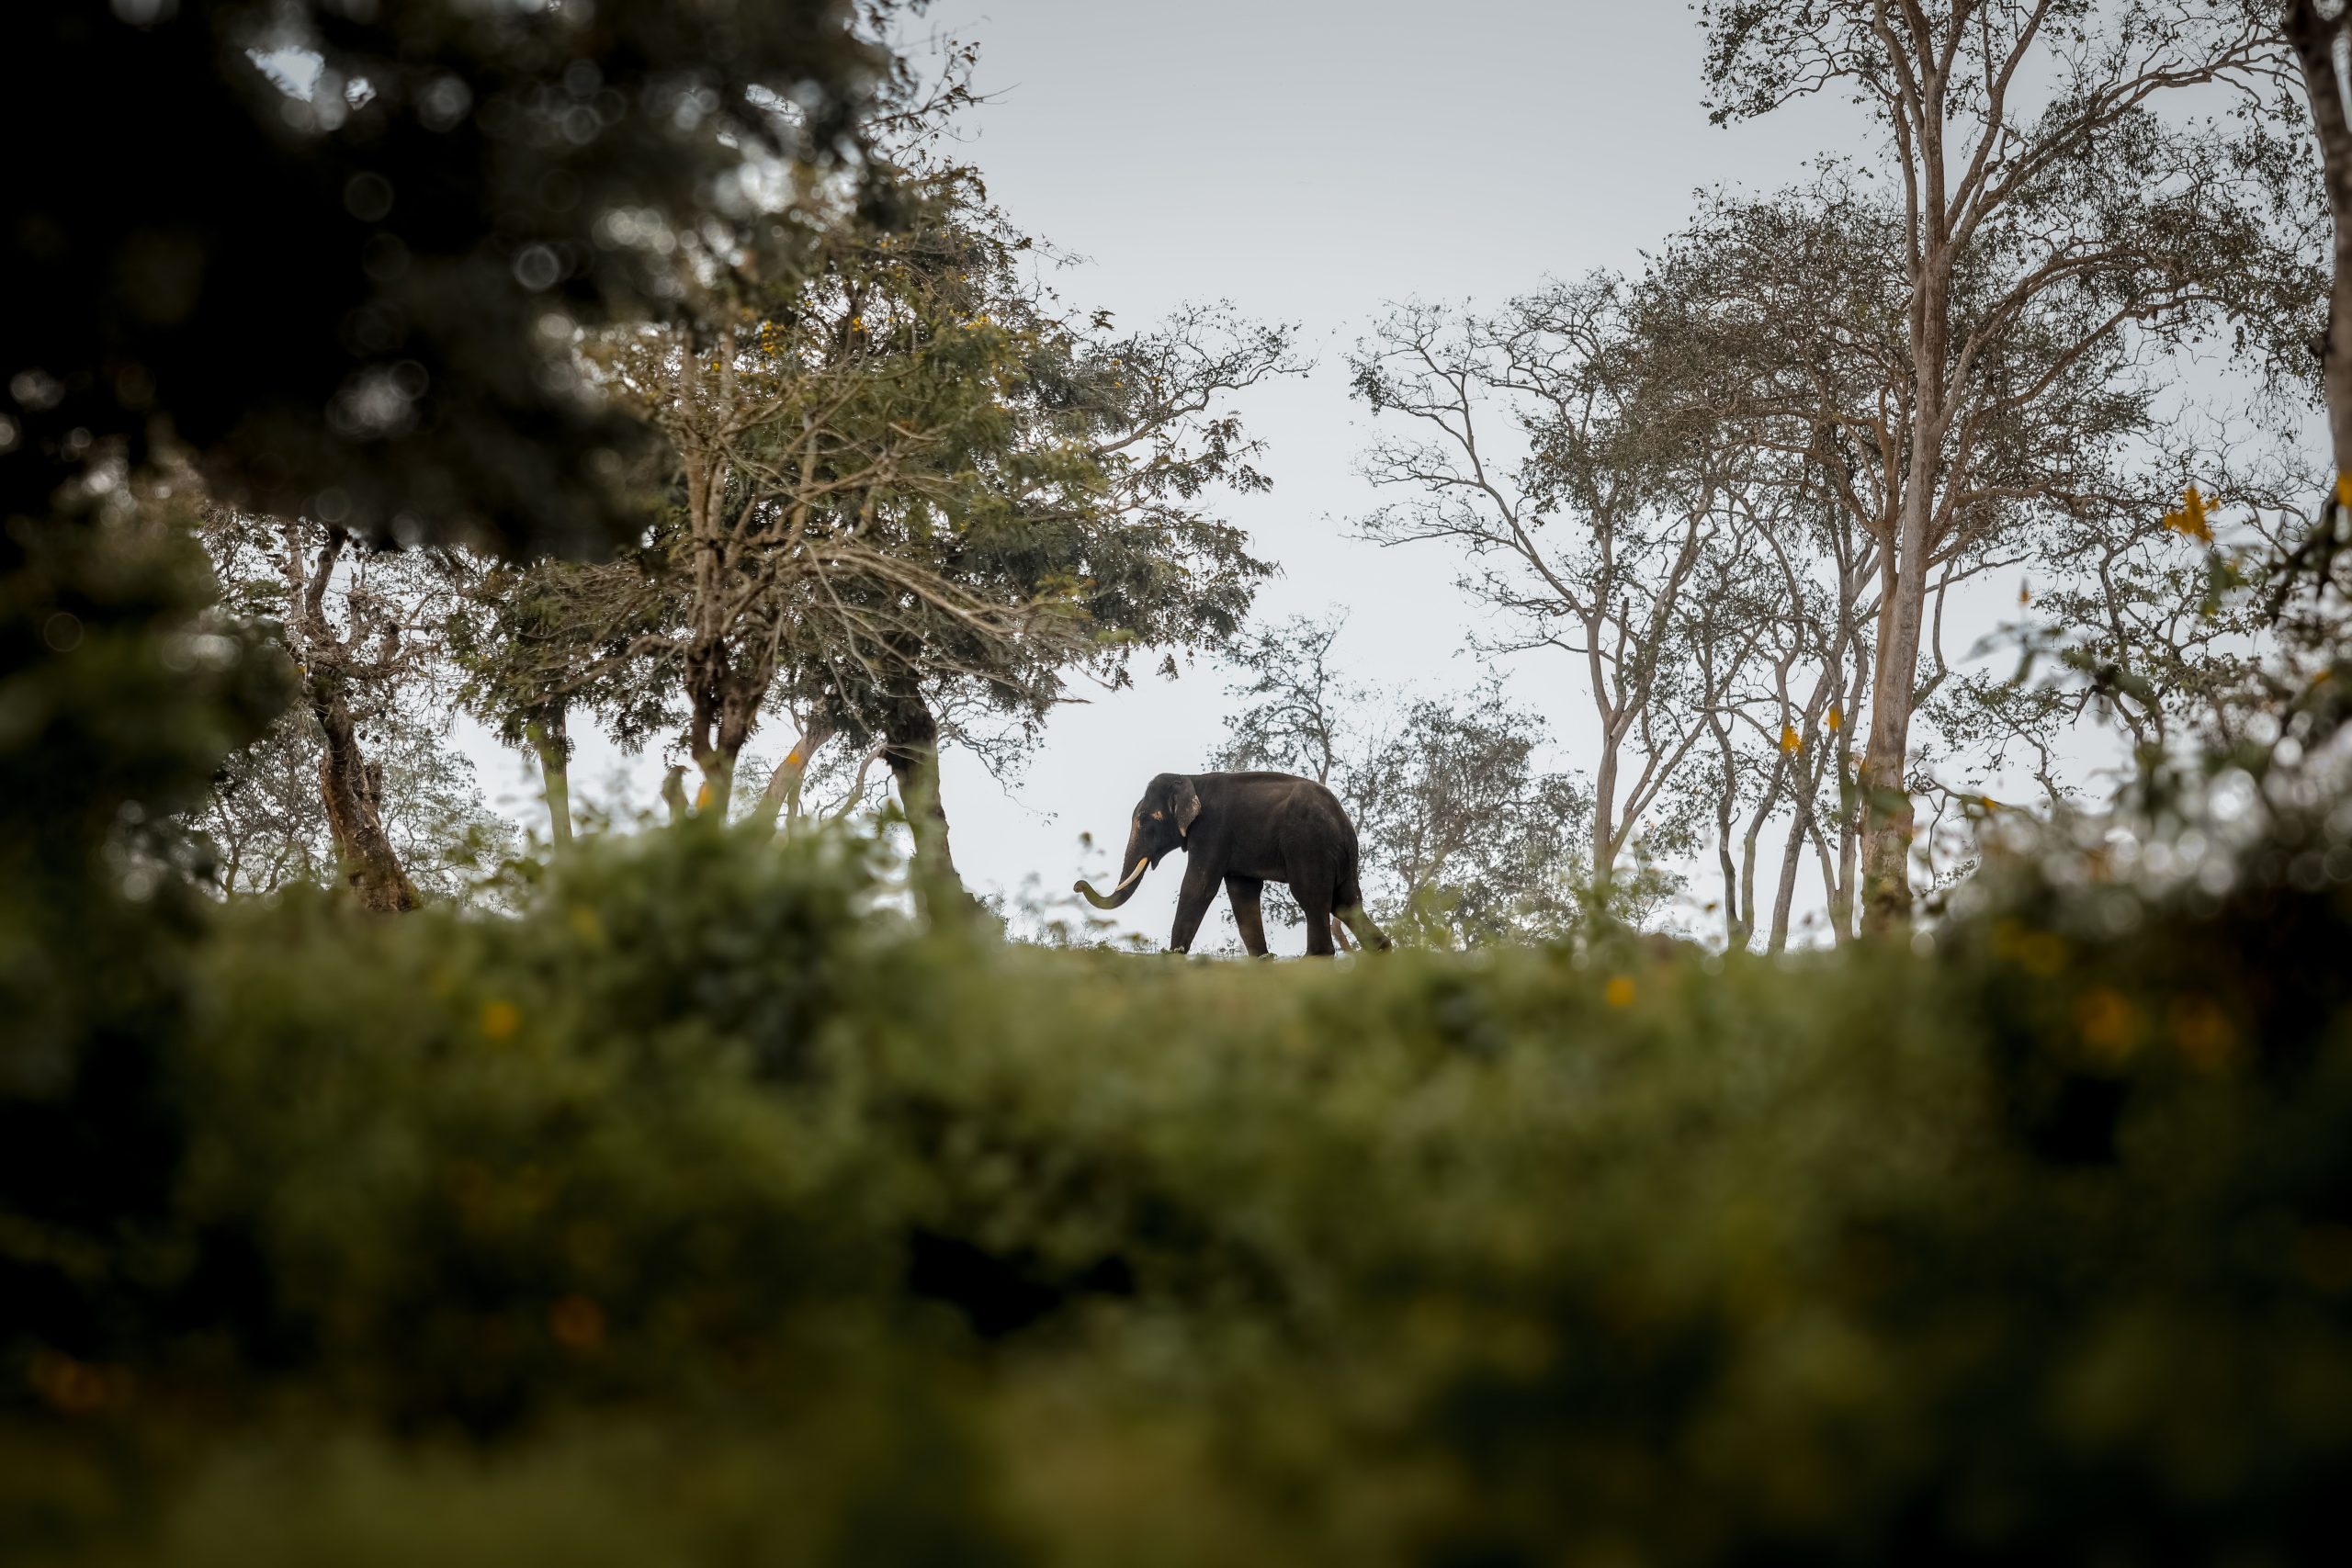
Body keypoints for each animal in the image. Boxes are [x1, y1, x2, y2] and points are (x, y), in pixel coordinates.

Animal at [1073, 771, 1392, 957]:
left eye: (1143, 819)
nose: (1077, 885)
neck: (1190, 778)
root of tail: (1342, 820)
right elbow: (1242, 893)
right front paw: (1262, 959)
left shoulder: (1212, 830)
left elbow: (1199, 885)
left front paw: (1173, 954)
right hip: (1341, 858)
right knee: (1346, 903)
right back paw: (1382, 949)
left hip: (1309, 846)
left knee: (1312, 899)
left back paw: (1317, 958)